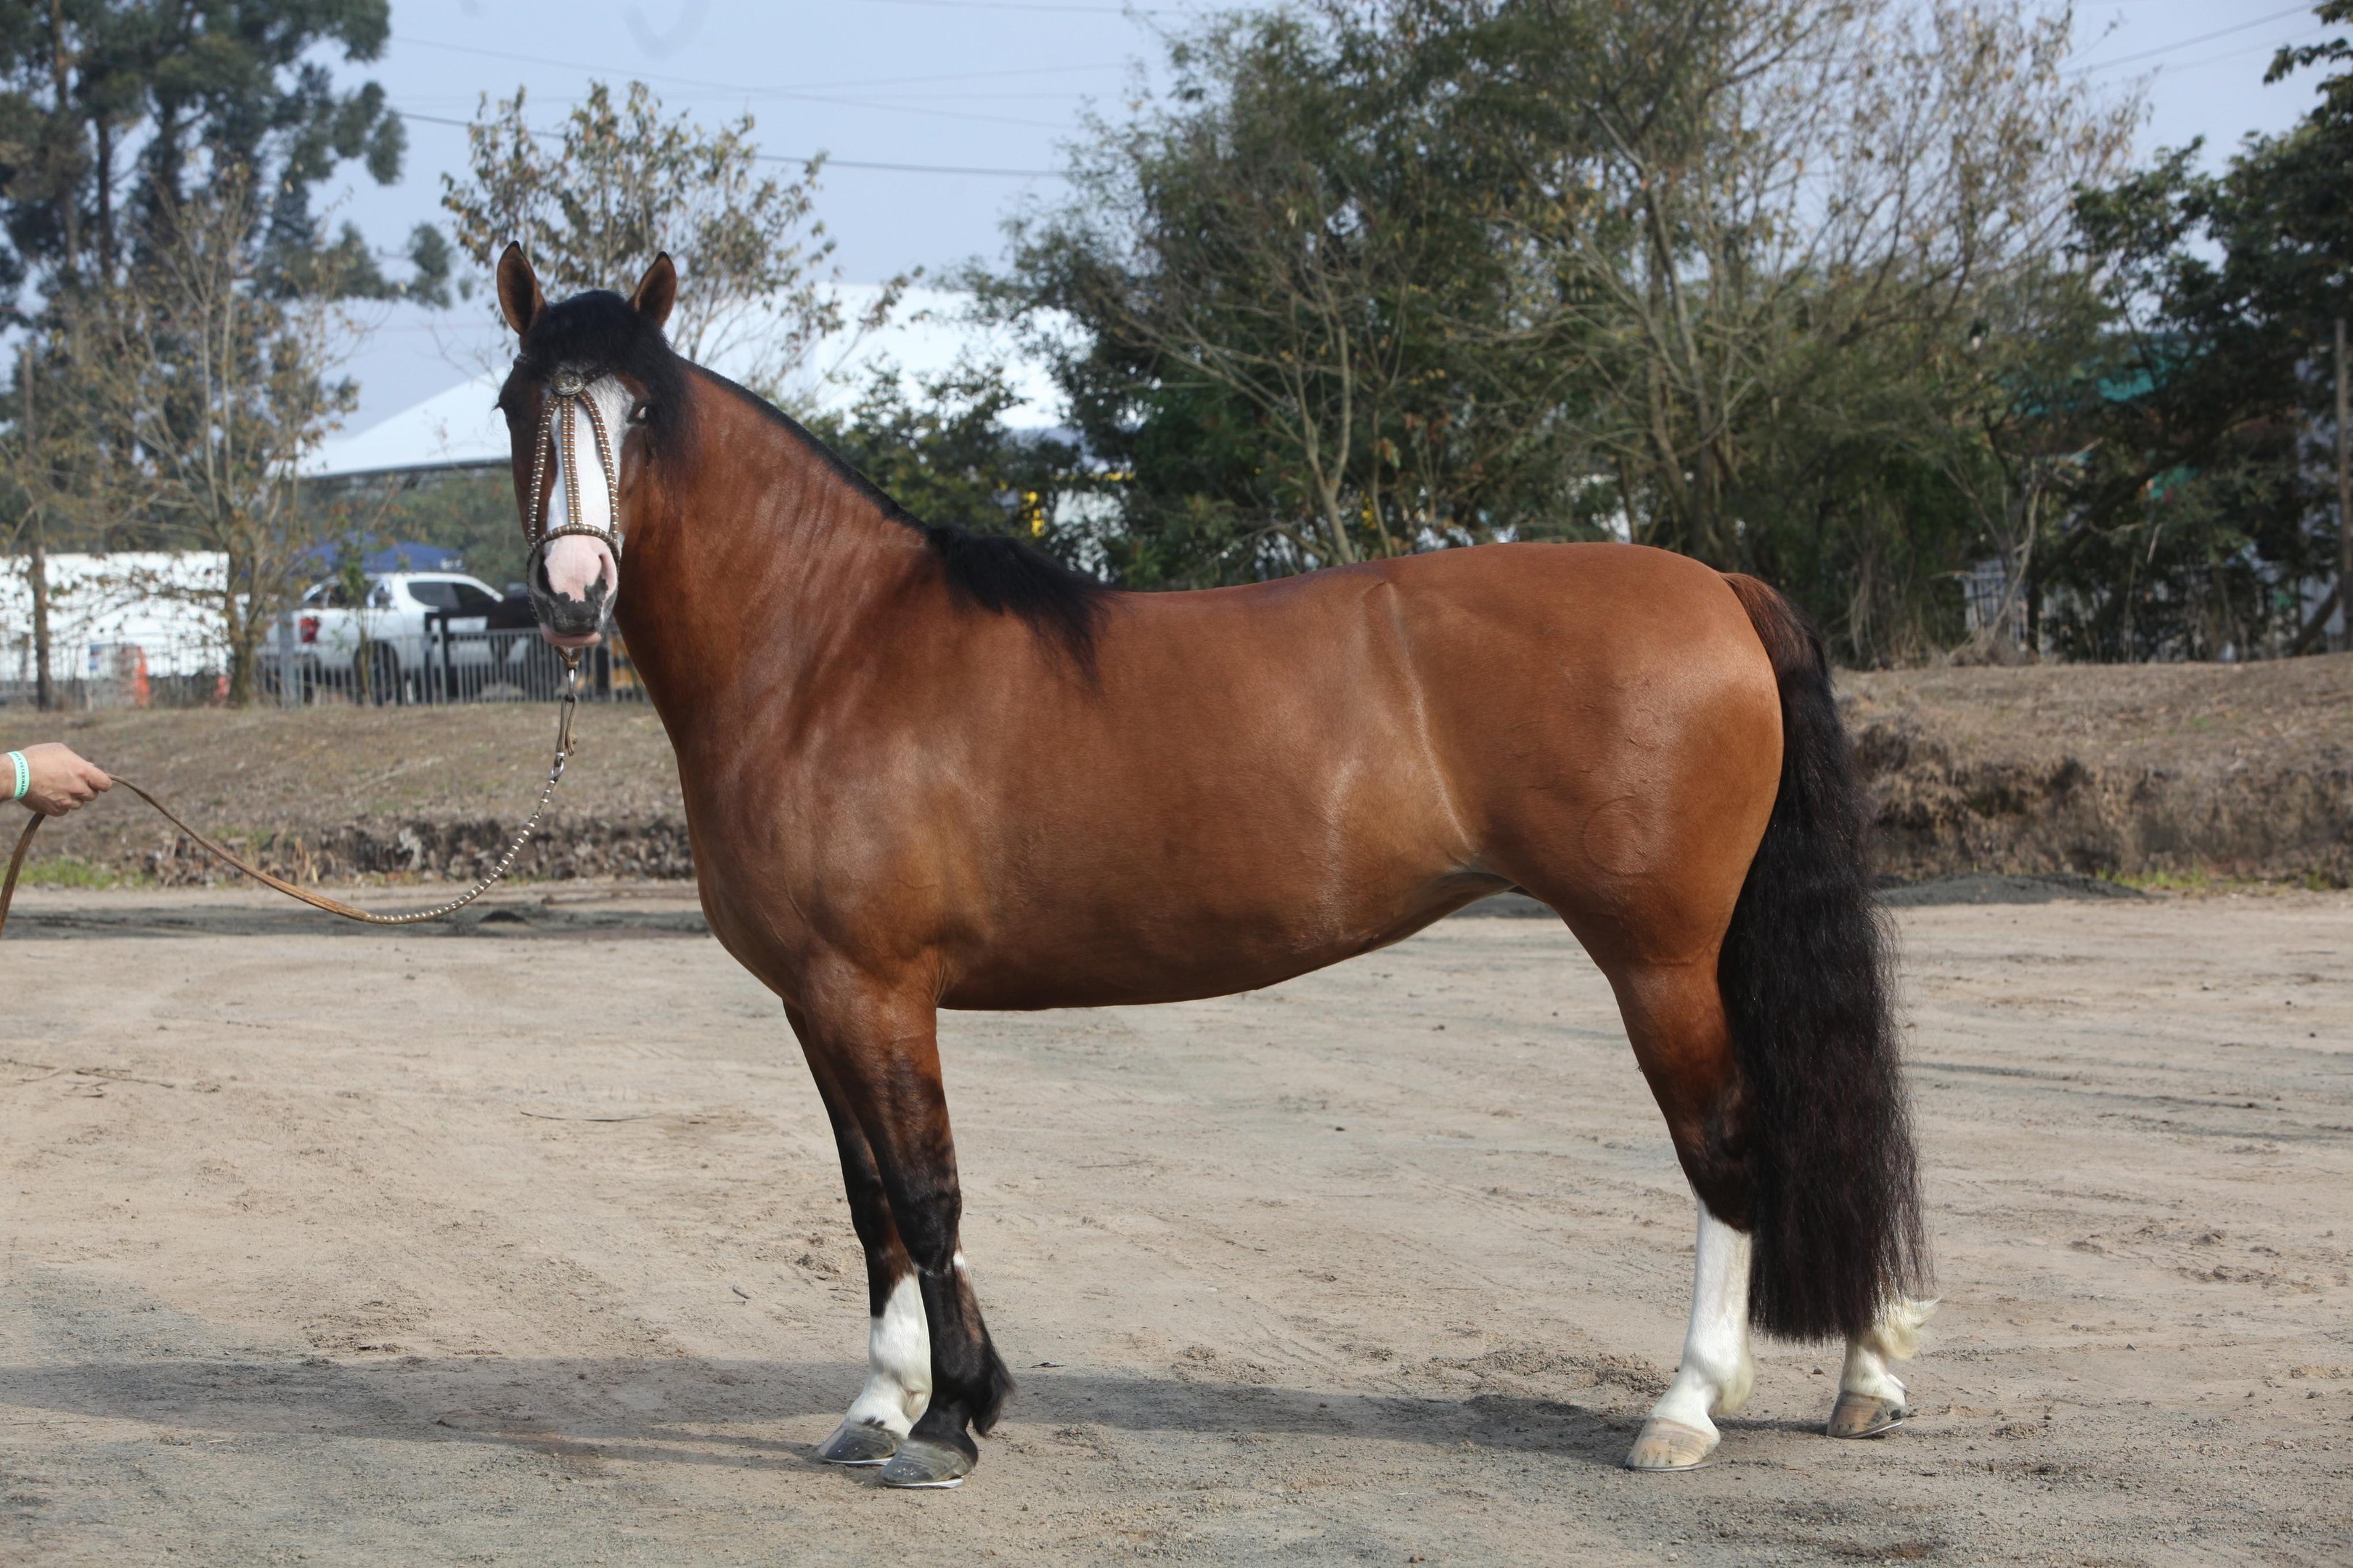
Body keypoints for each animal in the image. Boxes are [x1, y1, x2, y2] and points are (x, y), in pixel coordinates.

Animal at [492, 244, 1931, 1489]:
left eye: (639, 412)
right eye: (517, 403)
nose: (570, 590)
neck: (827, 652)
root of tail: (1720, 586)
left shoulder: (876, 990)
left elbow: (929, 1192)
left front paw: (952, 1419)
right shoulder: (816, 1000)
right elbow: (871, 1205)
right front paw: (882, 1402)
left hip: (1660, 956)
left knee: (1733, 1140)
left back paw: (1687, 1404)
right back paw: (1867, 1373)